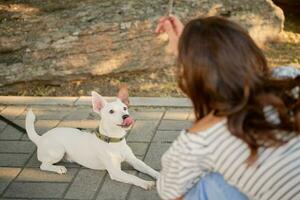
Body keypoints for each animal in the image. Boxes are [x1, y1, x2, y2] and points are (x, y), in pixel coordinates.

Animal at [25, 86, 159, 190]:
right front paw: (146, 183)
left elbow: (148, 168)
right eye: (111, 111)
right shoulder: (115, 172)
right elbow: (132, 177)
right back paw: (58, 168)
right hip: (57, 150)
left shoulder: (135, 161)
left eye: (125, 108)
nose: (126, 116)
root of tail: (41, 138)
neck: (113, 141)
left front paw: (160, 176)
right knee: (43, 165)